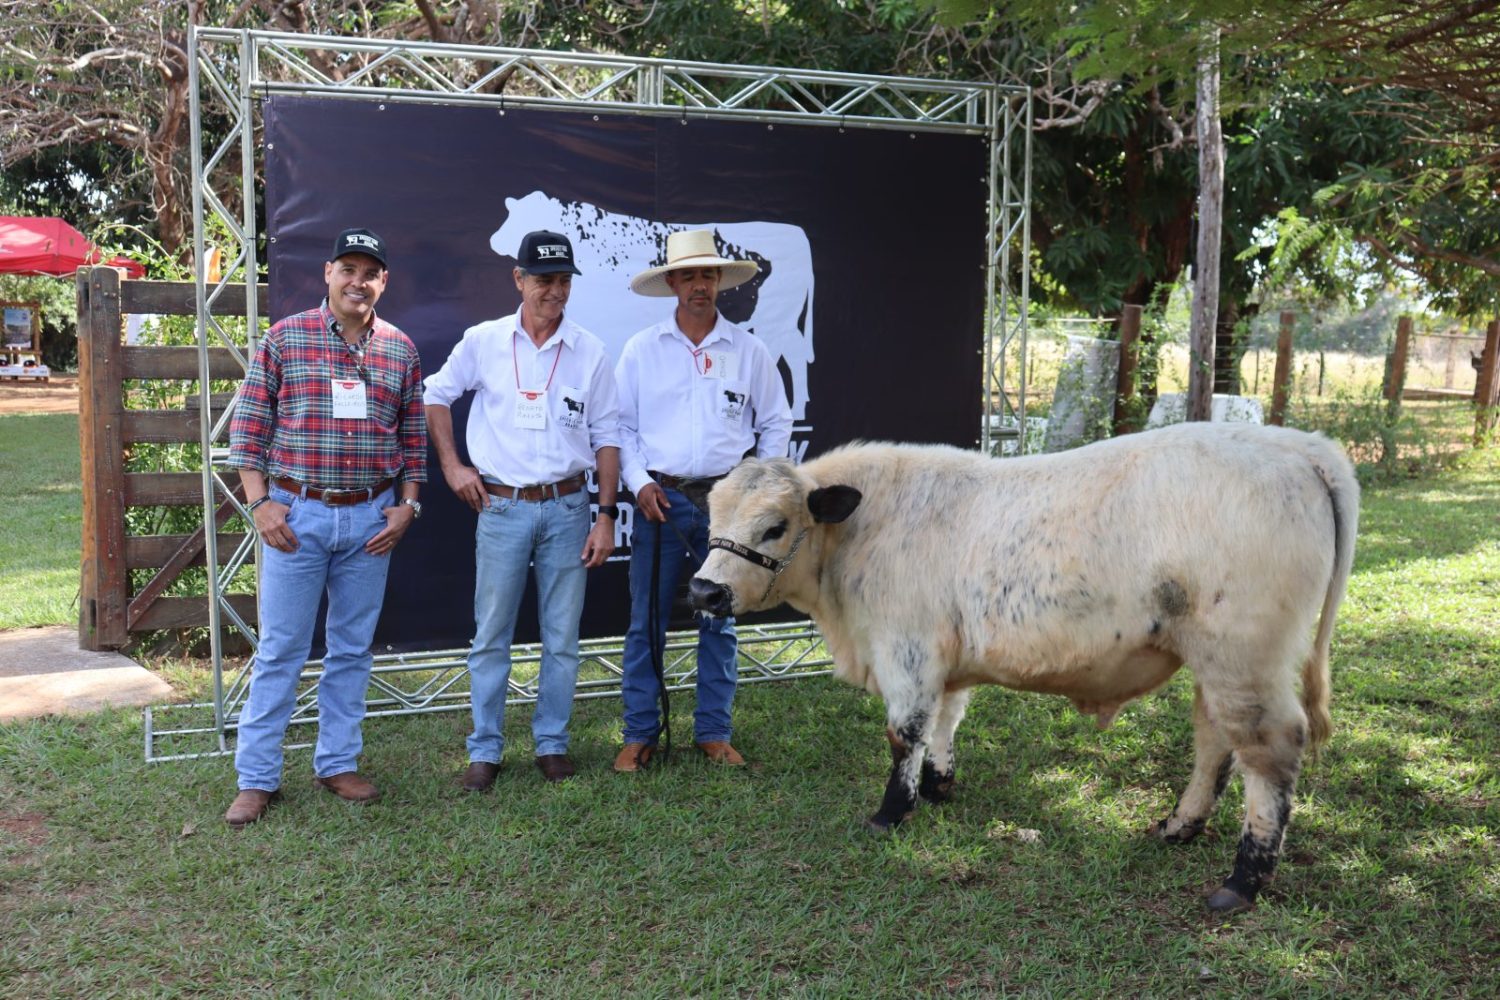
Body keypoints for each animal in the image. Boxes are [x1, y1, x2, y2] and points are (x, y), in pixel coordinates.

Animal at [687, 422, 1368, 917]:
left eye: (775, 526)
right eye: (712, 518)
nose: (703, 592)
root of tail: (1298, 444)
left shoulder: (906, 650)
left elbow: (904, 733)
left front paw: (891, 813)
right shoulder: (944, 657)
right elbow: (945, 721)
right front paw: (938, 786)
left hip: (1245, 657)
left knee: (1269, 752)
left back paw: (1243, 879)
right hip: (1216, 660)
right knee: (1215, 742)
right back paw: (1179, 825)